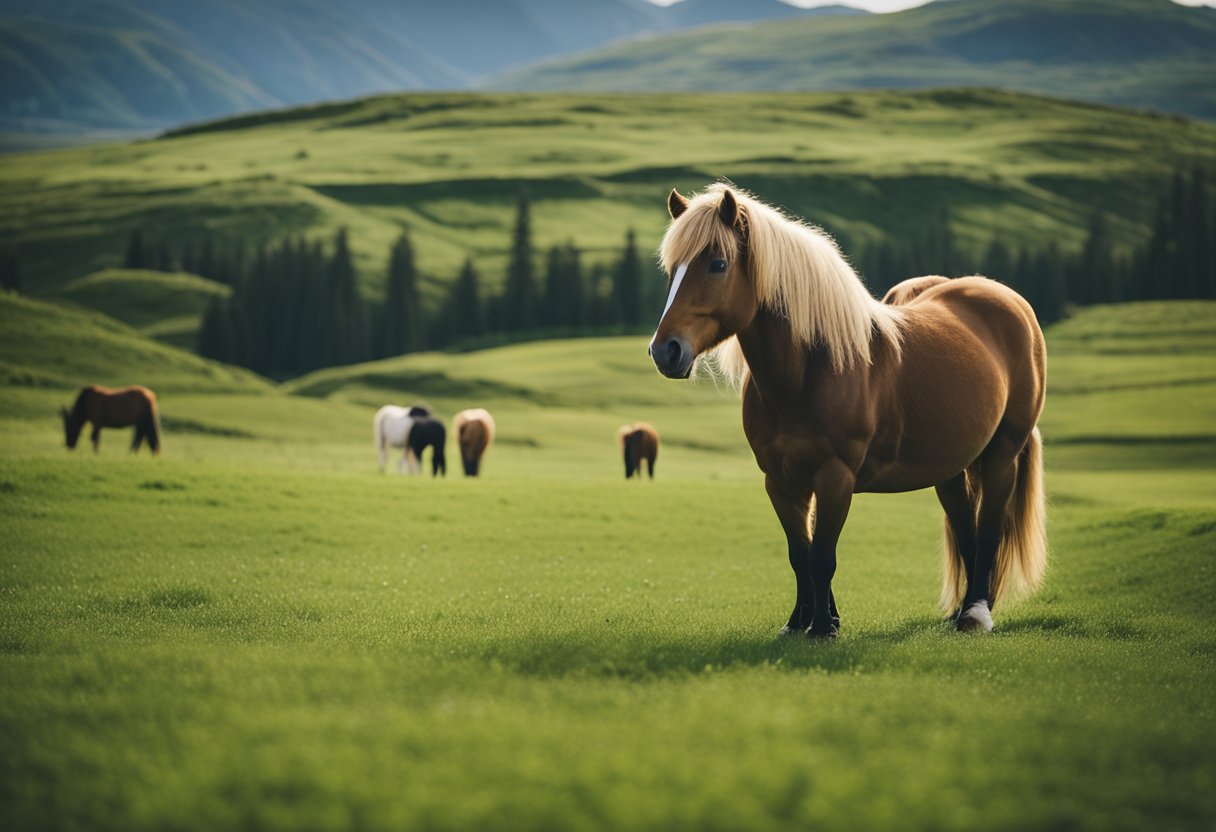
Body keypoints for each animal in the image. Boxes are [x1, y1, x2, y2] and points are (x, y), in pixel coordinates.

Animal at [651, 183, 1050, 637]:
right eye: (672, 270)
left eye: (718, 265)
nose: (665, 351)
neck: (810, 371)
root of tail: (1009, 300)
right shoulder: (780, 480)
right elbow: (800, 554)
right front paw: (800, 622)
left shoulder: (835, 476)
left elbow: (823, 555)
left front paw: (823, 628)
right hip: (950, 468)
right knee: (965, 531)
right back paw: (959, 612)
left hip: (1002, 454)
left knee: (987, 532)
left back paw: (977, 613)